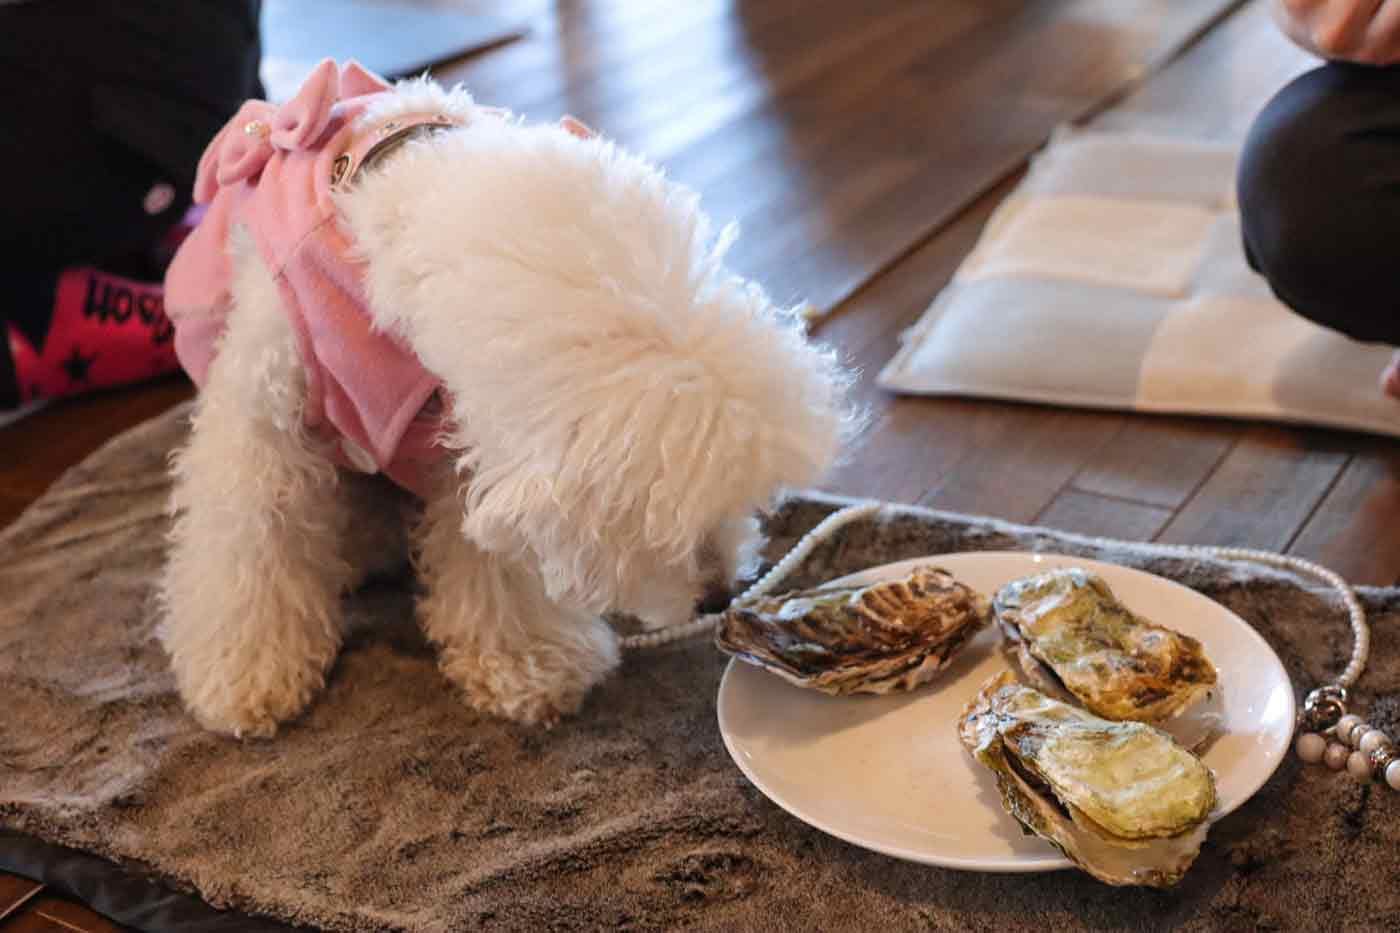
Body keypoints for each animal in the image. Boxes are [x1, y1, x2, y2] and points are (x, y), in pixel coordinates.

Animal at [154, 61, 851, 739]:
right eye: (641, 527)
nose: (720, 596)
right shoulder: (260, 421)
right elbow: (249, 542)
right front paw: (245, 675)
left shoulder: (458, 440)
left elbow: (489, 562)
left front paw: (528, 664)